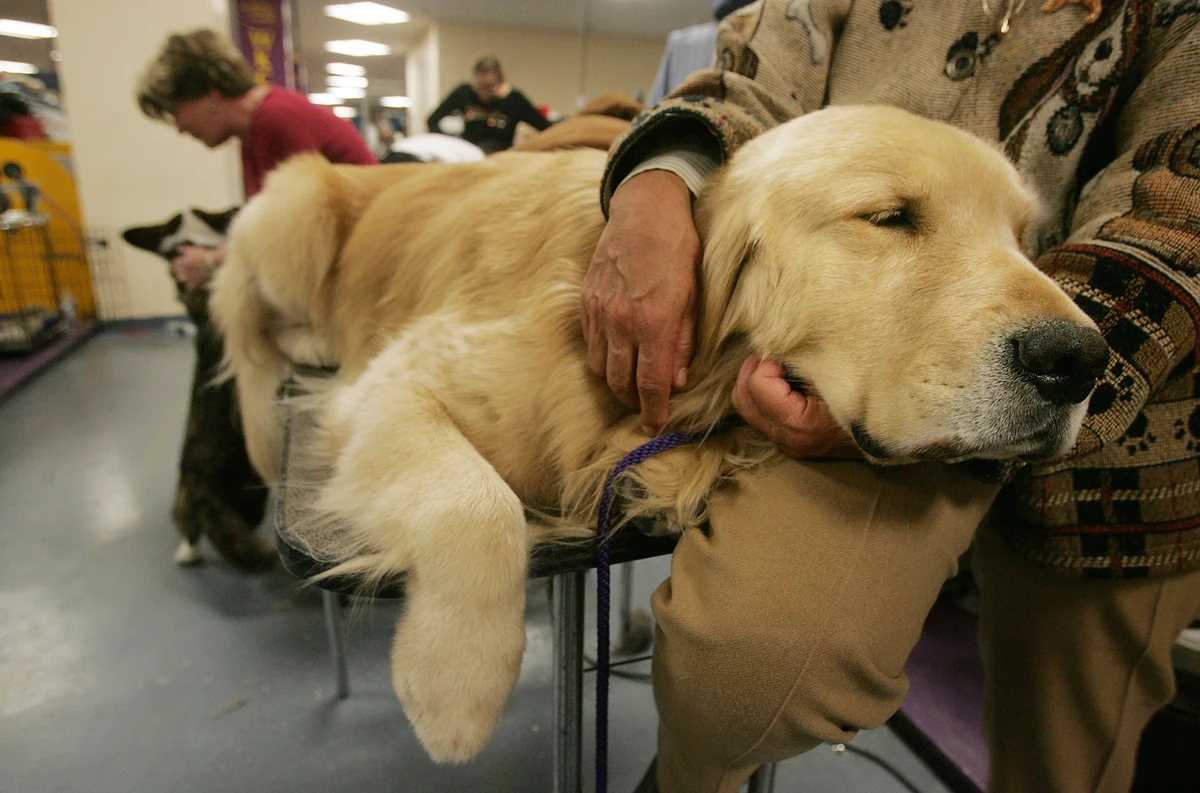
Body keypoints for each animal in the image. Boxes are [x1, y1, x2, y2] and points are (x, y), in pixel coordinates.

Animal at [211, 104, 1108, 763]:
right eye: (890, 217)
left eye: (1024, 240)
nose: (1081, 360)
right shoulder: (392, 384)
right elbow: (477, 504)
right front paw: (453, 689)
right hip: (292, 211)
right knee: (250, 329)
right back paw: (303, 339)